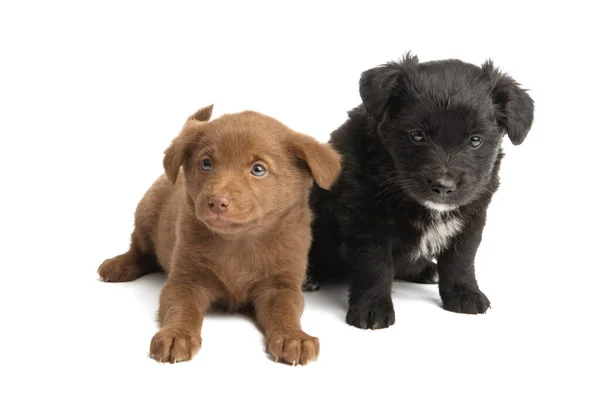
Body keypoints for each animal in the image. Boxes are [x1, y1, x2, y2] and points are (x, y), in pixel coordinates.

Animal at [98, 105, 342, 366]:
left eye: (258, 169)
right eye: (206, 164)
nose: (216, 201)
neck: (239, 243)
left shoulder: (281, 286)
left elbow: (284, 312)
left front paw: (292, 337)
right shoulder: (185, 280)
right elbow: (180, 308)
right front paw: (176, 335)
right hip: (146, 212)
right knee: (140, 249)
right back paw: (119, 265)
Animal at [308, 53, 536, 330]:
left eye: (475, 140)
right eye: (417, 136)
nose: (443, 186)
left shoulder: (472, 216)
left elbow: (462, 258)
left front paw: (464, 293)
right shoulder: (366, 222)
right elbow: (374, 266)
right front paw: (372, 308)